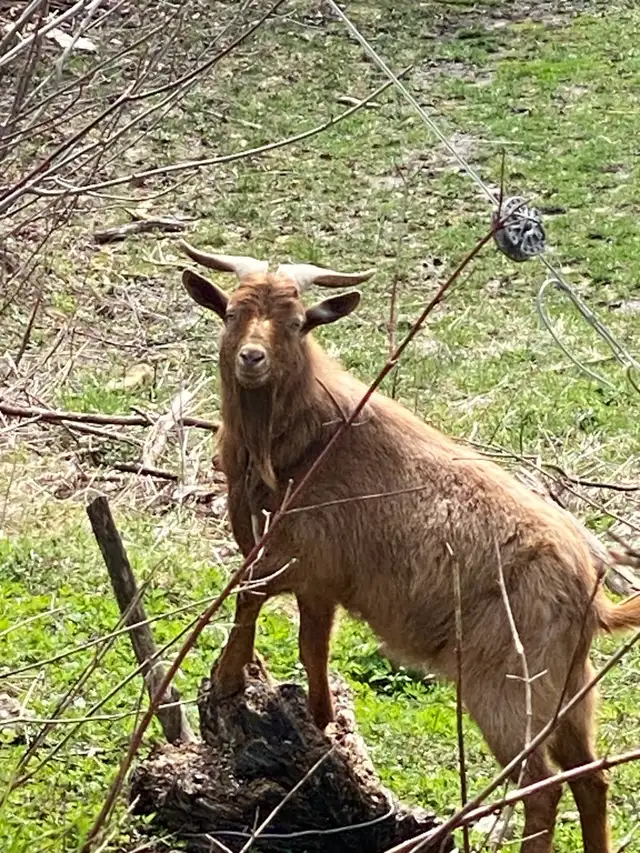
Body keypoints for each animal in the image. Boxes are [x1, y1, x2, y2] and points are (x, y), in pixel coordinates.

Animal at [178, 238, 640, 853]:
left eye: (297, 323)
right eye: (231, 312)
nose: (252, 359)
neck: (303, 442)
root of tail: (592, 594)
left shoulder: (299, 552)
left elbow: (248, 595)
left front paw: (228, 679)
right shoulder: (322, 580)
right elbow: (313, 646)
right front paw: (322, 720)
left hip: (508, 684)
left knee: (541, 788)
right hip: (569, 688)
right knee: (590, 778)